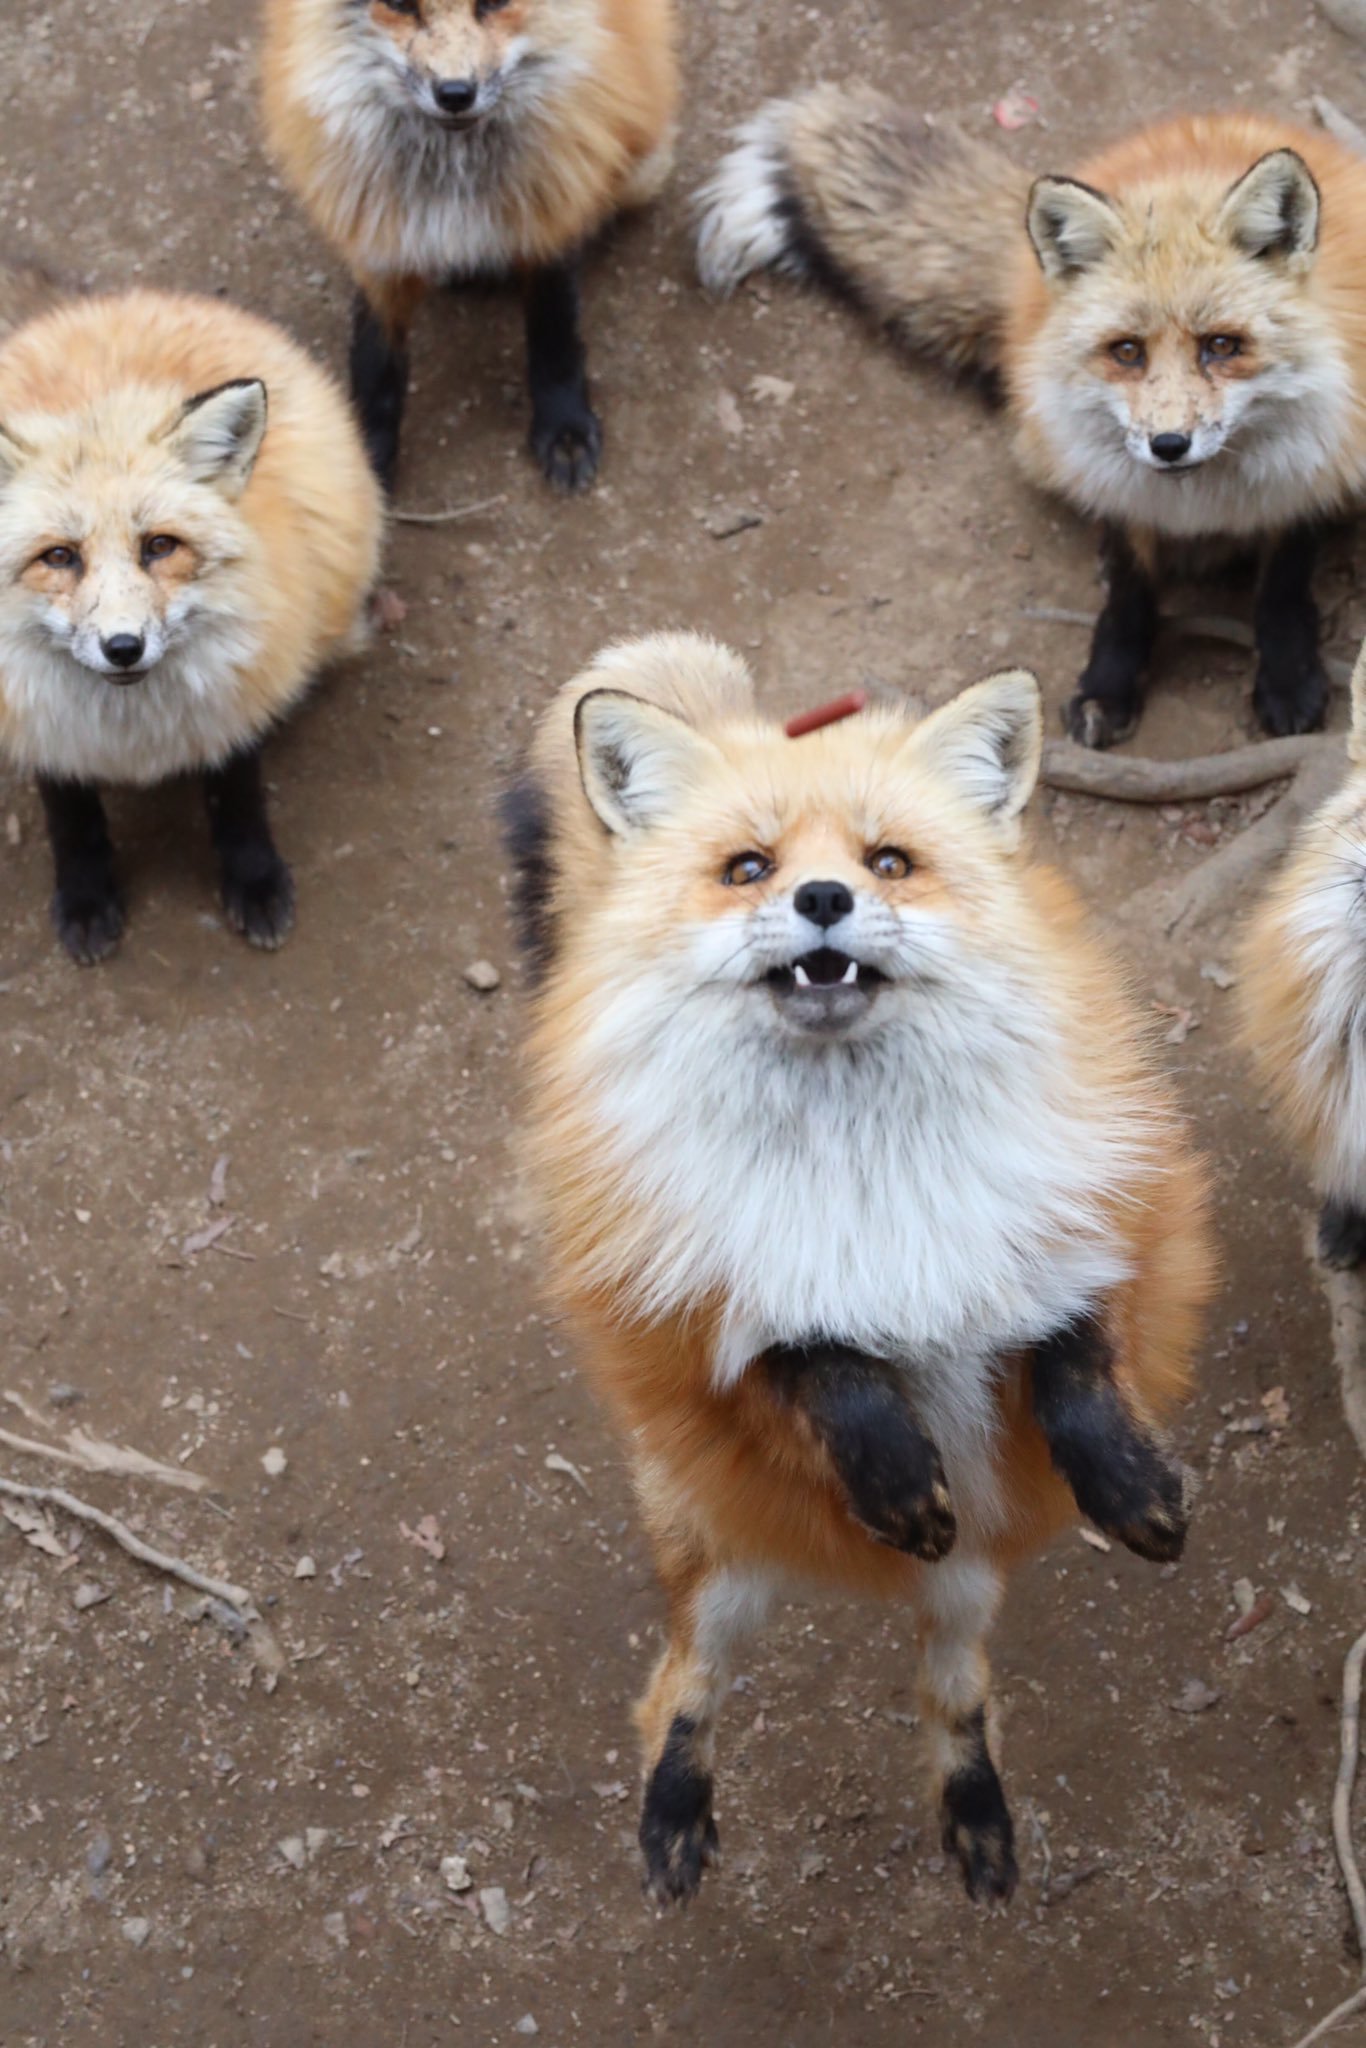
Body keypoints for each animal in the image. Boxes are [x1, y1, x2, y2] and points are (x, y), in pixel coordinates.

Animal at [507, 634, 1212, 1900]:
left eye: (890, 861)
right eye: (747, 867)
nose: (824, 898)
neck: (869, 1173)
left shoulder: (1067, 1227)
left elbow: (1077, 1356)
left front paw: (1132, 1488)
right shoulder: (696, 1316)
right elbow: (817, 1354)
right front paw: (889, 1467)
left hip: (964, 1585)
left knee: (954, 1697)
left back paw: (977, 1818)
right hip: (718, 1568)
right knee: (678, 1690)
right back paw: (674, 1812)